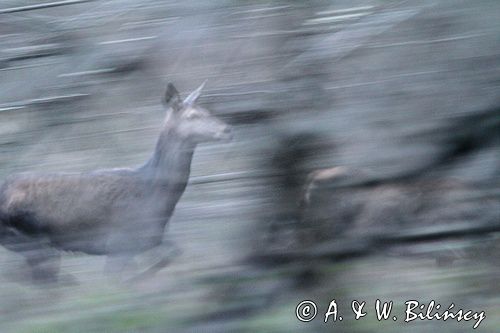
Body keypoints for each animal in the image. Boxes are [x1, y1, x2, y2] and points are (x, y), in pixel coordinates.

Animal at [0, 81, 232, 282]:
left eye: (208, 110)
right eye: (192, 116)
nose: (227, 129)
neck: (156, 198)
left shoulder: (147, 240)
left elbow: (173, 253)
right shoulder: (119, 242)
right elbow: (115, 280)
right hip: (28, 238)